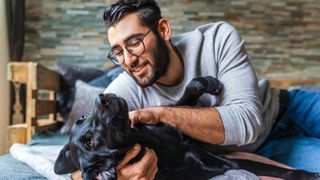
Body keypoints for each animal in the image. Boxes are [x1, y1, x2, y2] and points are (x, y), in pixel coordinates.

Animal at [55, 76, 320, 180]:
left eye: (81, 117)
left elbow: (187, 92)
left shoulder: (167, 122)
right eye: (90, 142)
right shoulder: (227, 164)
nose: (101, 98)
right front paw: (308, 175)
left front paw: (210, 83)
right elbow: (280, 170)